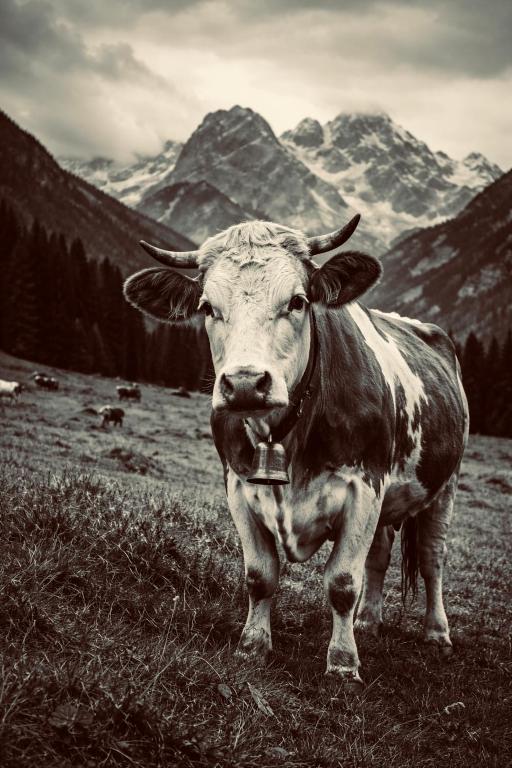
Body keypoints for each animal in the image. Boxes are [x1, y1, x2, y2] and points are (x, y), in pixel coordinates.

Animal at [123, 215, 469, 691]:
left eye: (298, 301)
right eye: (208, 307)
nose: (245, 383)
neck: (285, 433)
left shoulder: (365, 488)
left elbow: (342, 582)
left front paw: (342, 663)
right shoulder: (238, 488)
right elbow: (259, 576)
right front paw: (253, 645)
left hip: (444, 486)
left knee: (433, 560)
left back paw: (437, 634)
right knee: (379, 555)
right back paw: (369, 622)